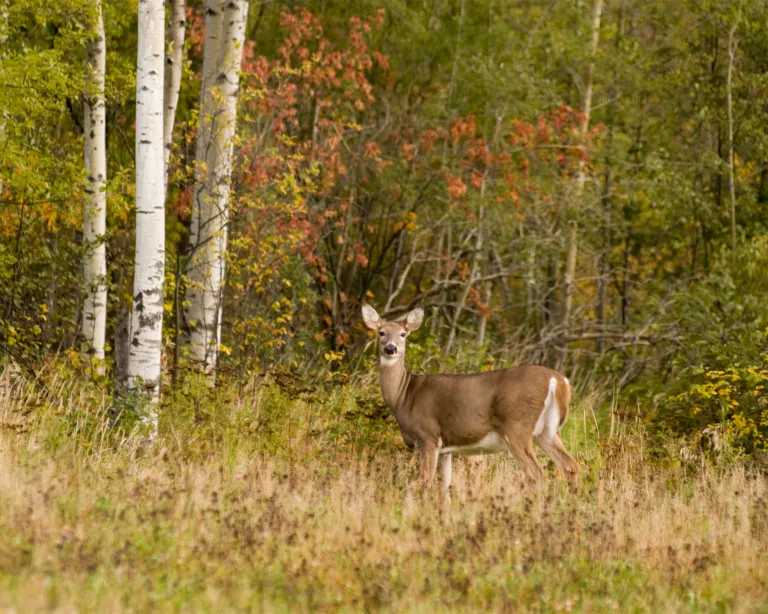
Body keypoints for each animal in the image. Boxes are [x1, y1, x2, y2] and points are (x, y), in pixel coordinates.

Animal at [361, 304, 580, 493]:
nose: (391, 348)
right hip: (548, 431)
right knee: (571, 466)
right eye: (381, 332)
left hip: (517, 427)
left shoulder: (428, 436)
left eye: (403, 334)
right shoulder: (446, 450)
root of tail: (559, 380)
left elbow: (423, 481)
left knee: (537, 473)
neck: (404, 395)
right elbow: (445, 487)